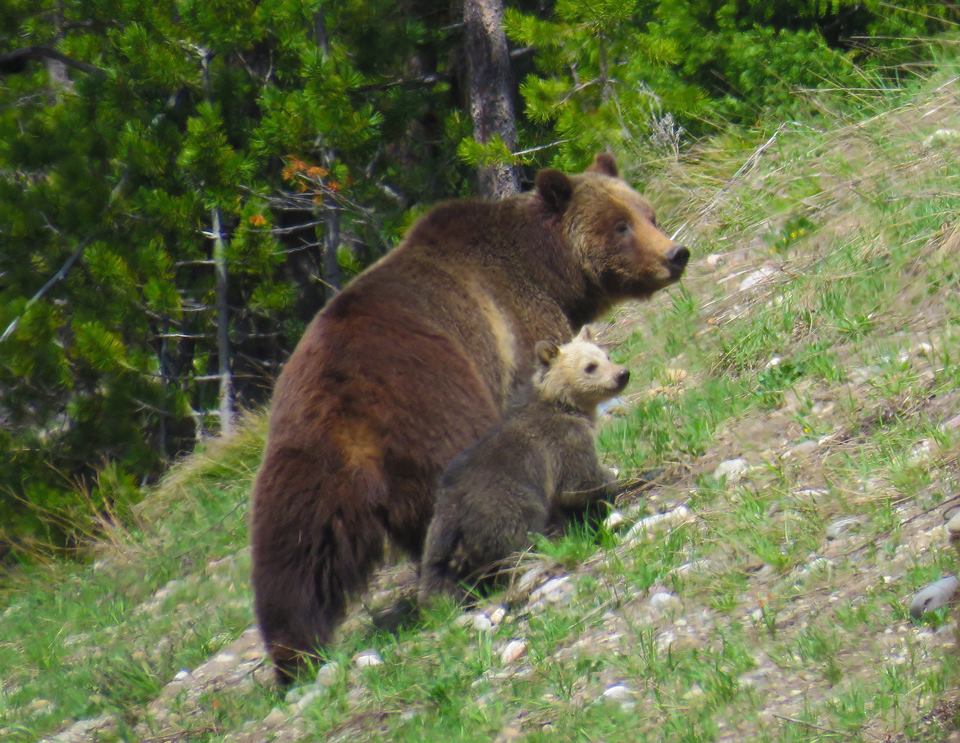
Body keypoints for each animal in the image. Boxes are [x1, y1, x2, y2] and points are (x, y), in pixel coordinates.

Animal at [418, 326, 627, 604]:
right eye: (590, 366)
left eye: (606, 355)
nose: (622, 374)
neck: (563, 403)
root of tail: (454, 514)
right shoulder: (562, 442)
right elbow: (578, 481)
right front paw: (614, 480)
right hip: (507, 505)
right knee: (519, 537)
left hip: (439, 537)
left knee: (437, 574)